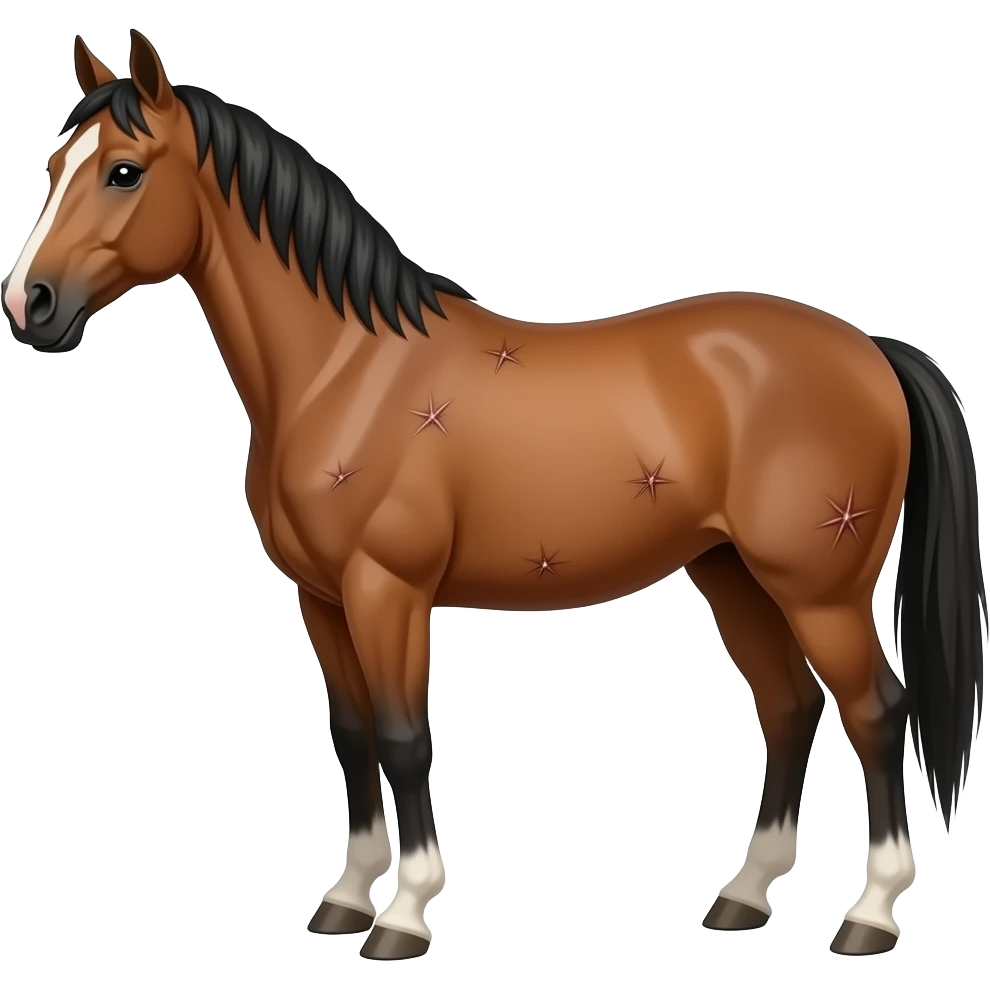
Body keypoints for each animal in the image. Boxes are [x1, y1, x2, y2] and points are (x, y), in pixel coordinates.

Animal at [2, 30, 985, 961]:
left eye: (124, 172)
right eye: (54, 169)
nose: (29, 305)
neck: (343, 371)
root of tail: (871, 352)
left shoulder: (386, 591)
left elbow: (404, 740)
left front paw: (403, 917)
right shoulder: (322, 599)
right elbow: (352, 737)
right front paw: (344, 900)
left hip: (819, 590)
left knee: (876, 712)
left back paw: (870, 915)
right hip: (732, 573)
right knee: (788, 710)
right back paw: (743, 898)